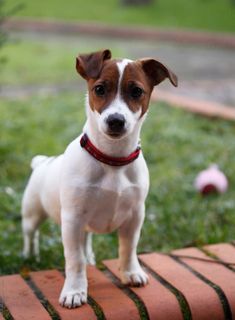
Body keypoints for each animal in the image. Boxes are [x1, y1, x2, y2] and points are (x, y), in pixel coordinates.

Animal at [21, 49, 176, 308]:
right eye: (100, 89)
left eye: (137, 91)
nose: (116, 120)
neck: (112, 160)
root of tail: (43, 163)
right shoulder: (72, 219)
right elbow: (74, 260)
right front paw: (74, 290)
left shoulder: (135, 216)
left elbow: (128, 248)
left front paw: (131, 272)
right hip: (33, 213)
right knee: (31, 234)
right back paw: (29, 254)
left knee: (86, 239)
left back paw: (90, 257)